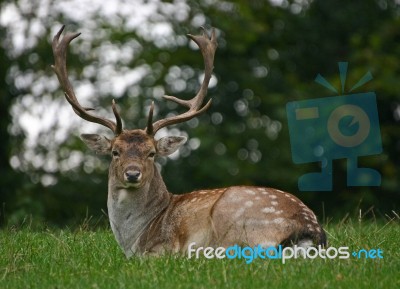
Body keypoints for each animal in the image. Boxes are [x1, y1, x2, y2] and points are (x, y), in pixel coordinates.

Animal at [50, 24, 324, 256]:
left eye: (151, 153)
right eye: (115, 152)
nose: (132, 173)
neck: (133, 241)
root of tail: (310, 229)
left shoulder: (160, 249)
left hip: (234, 217)